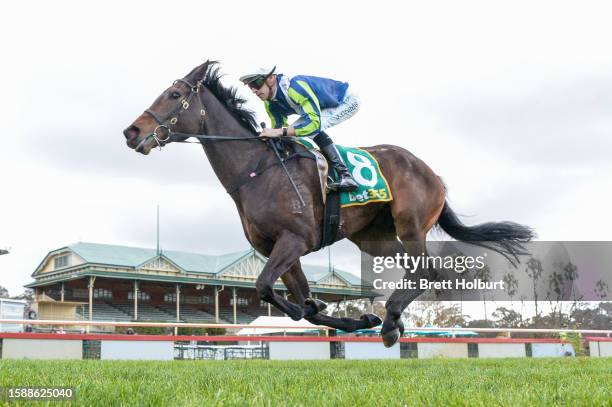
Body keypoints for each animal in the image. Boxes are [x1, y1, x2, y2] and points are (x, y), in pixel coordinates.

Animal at [122, 61, 532, 348]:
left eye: (174, 95)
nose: (132, 131)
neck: (257, 170)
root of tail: (433, 173)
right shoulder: (279, 249)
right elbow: (301, 304)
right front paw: (354, 318)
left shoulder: (294, 240)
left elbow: (267, 288)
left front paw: (337, 313)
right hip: (375, 237)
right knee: (415, 269)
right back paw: (391, 322)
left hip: (410, 223)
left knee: (428, 271)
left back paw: (391, 319)